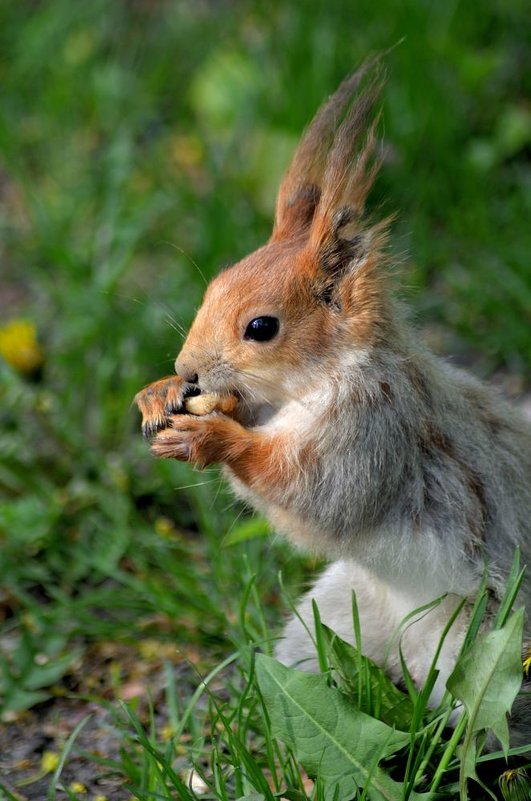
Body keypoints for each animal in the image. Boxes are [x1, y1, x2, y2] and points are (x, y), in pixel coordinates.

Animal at [136, 59, 531, 748]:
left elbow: (316, 491)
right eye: (214, 286)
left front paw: (212, 439)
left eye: (261, 327)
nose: (188, 369)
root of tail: (405, 658)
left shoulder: (374, 427)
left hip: (482, 643)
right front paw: (159, 393)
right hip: (330, 617)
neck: (318, 382)